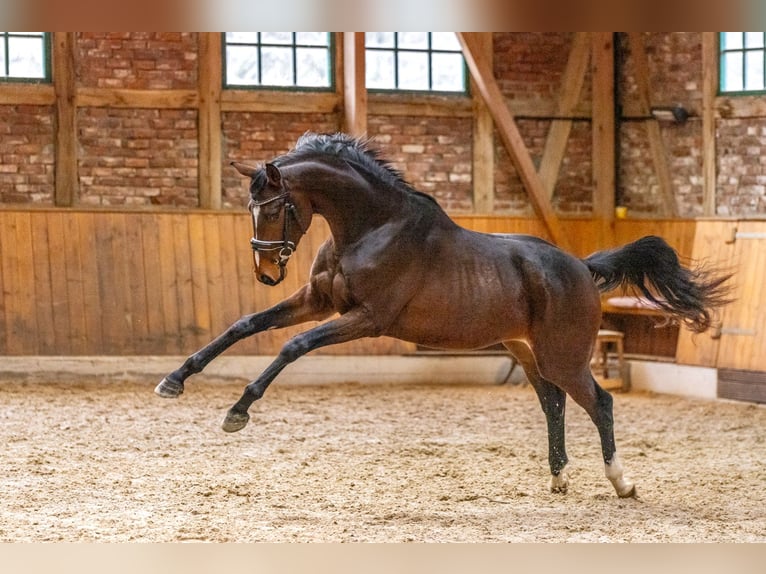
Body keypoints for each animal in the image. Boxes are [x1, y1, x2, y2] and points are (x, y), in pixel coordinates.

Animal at [156, 133, 732, 498]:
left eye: (276, 206)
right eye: (250, 208)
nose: (264, 270)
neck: (370, 227)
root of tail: (581, 266)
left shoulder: (367, 317)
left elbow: (291, 346)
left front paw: (238, 410)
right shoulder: (317, 301)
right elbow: (244, 325)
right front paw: (175, 380)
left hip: (563, 356)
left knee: (600, 403)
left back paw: (621, 483)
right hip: (528, 353)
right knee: (553, 404)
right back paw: (557, 479)